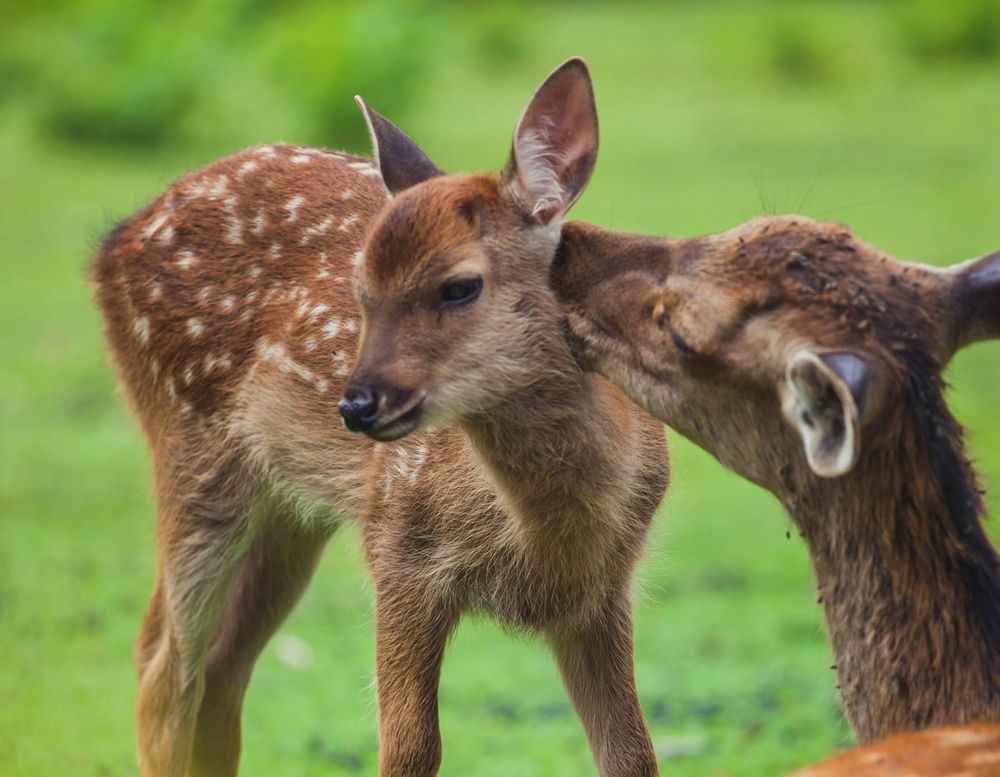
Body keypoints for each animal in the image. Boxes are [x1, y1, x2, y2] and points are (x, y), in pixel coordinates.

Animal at [92, 58, 670, 777]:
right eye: (361, 292)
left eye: (460, 286)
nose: (356, 403)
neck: (544, 534)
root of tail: (115, 240)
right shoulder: (400, 546)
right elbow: (411, 746)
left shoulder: (601, 587)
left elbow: (632, 750)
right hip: (191, 447)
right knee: (167, 666)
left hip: (291, 508)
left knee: (219, 669)